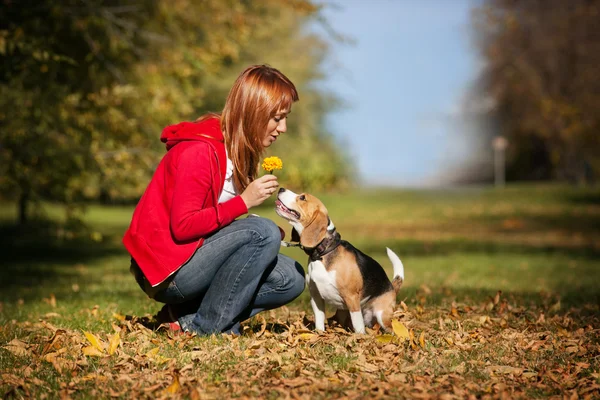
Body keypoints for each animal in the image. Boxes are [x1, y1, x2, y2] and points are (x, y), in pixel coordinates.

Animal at [276, 188, 406, 334]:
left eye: (303, 197)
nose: (281, 188)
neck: (323, 253)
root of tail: (391, 287)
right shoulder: (316, 297)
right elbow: (319, 321)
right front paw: (319, 335)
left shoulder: (352, 298)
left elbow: (358, 325)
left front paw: (359, 337)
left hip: (382, 314)